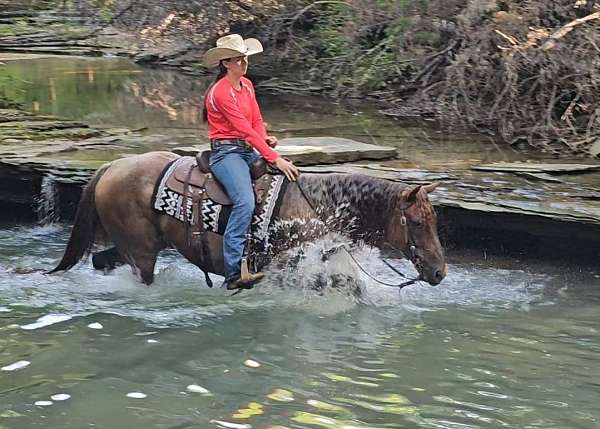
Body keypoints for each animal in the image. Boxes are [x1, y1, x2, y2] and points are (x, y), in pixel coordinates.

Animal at [50, 150, 446, 288]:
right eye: (417, 222)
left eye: (434, 221)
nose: (440, 272)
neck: (316, 207)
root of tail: (112, 166)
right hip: (142, 251)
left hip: (133, 245)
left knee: (102, 260)